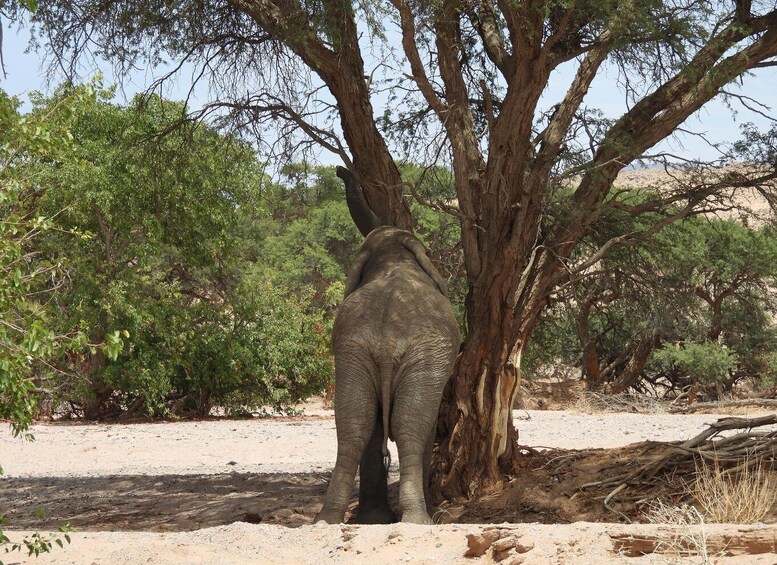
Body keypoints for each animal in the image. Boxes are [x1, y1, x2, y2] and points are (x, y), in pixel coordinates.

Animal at [315, 166, 460, 525]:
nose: (340, 169)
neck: (392, 253)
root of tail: (386, 342)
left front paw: (373, 519)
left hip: (356, 351)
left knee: (354, 423)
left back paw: (329, 519)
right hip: (419, 354)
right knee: (409, 425)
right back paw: (418, 520)